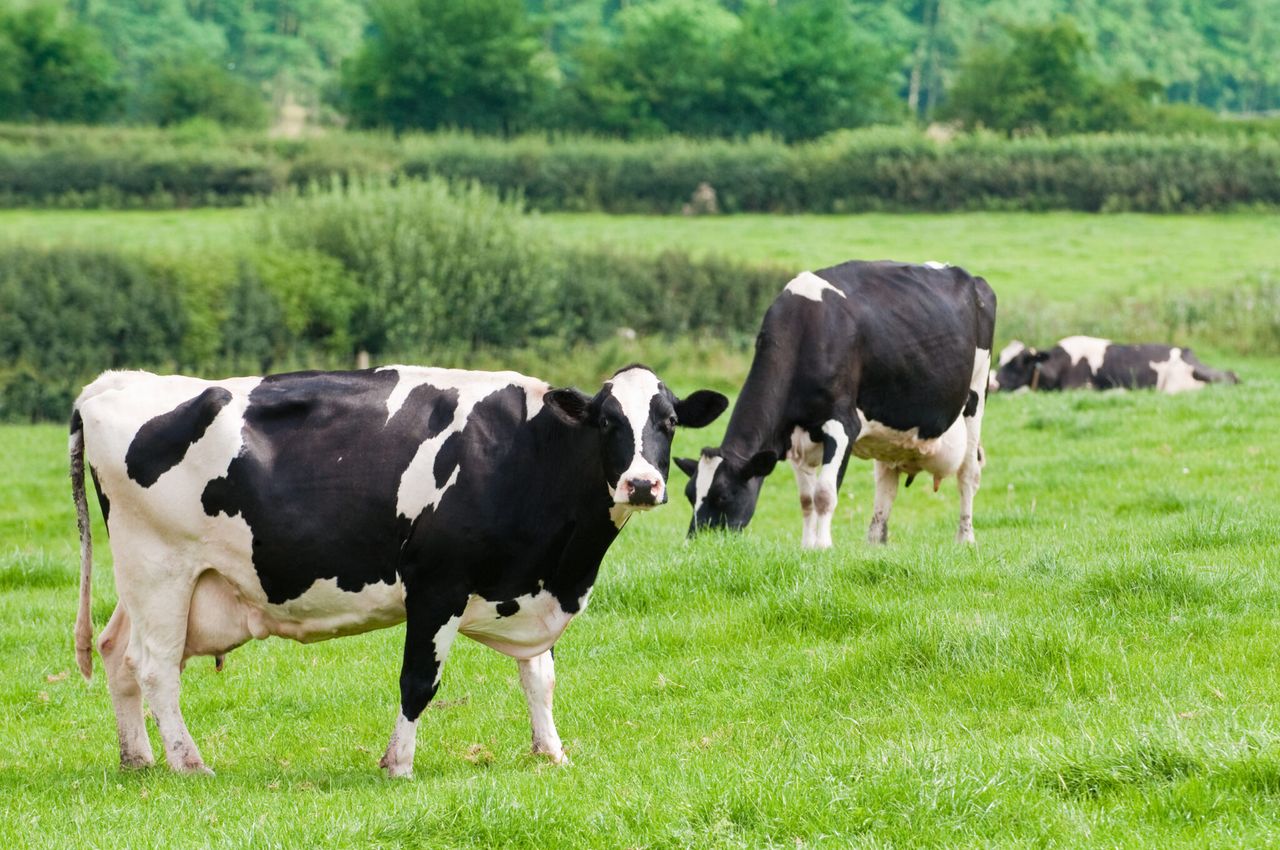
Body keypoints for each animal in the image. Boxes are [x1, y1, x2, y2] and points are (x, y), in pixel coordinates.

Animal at [70, 364, 727, 777]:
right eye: (608, 422)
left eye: (669, 422)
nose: (641, 483)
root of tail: (117, 382)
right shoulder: (437, 585)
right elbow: (419, 682)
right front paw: (399, 765)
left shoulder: (527, 583)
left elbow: (539, 677)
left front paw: (552, 753)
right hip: (160, 567)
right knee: (155, 668)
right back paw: (189, 763)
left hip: (150, 581)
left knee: (115, 651)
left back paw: (139, 759)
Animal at [675, 260, 996, 549]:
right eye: (690, 494)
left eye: (723, 496)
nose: (695, 542)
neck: (804, 330)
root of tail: (971, 277)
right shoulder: (794, 437)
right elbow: (806, 500)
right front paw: (807, 546)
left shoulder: (843, 425)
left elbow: (824, 494)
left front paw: (824, 546)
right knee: (886, 482)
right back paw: (875, 543)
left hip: (976, 396)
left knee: (968, 474)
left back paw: (965, 538)